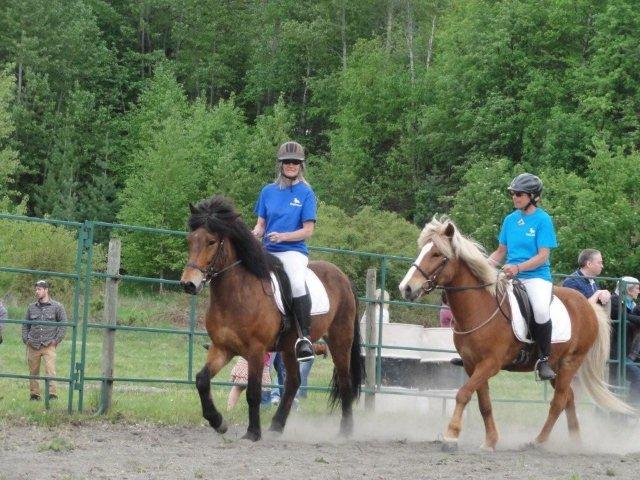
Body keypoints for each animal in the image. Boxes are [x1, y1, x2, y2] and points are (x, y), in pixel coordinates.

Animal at [180, 195, 363, 441]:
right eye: (190, 239)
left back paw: (345, 430)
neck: (236, 295)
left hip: (340, 341)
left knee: (344, 381)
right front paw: (218, 422)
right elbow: (201, 380)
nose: (188, 283)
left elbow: (254, 392)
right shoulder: (222, 348)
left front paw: (252, 433)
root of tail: (343, 277)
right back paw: (277, 425)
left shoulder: (256, 350)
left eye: (211, 241)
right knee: (293, 382)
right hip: (289, 347)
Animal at [399, 216, 634, 451]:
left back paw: (539, 441)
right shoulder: (472, 365)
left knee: (558, 402)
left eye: (437, 254)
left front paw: (451, 436)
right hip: (557, 367)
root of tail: (587, 305)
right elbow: (484, 404)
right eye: (423, 251)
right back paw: (575, 442)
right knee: (569, 398)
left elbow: (463, 394)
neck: (480, 308)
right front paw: (490, 441)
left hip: (570, 363)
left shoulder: (490, 364)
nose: (406, 288)